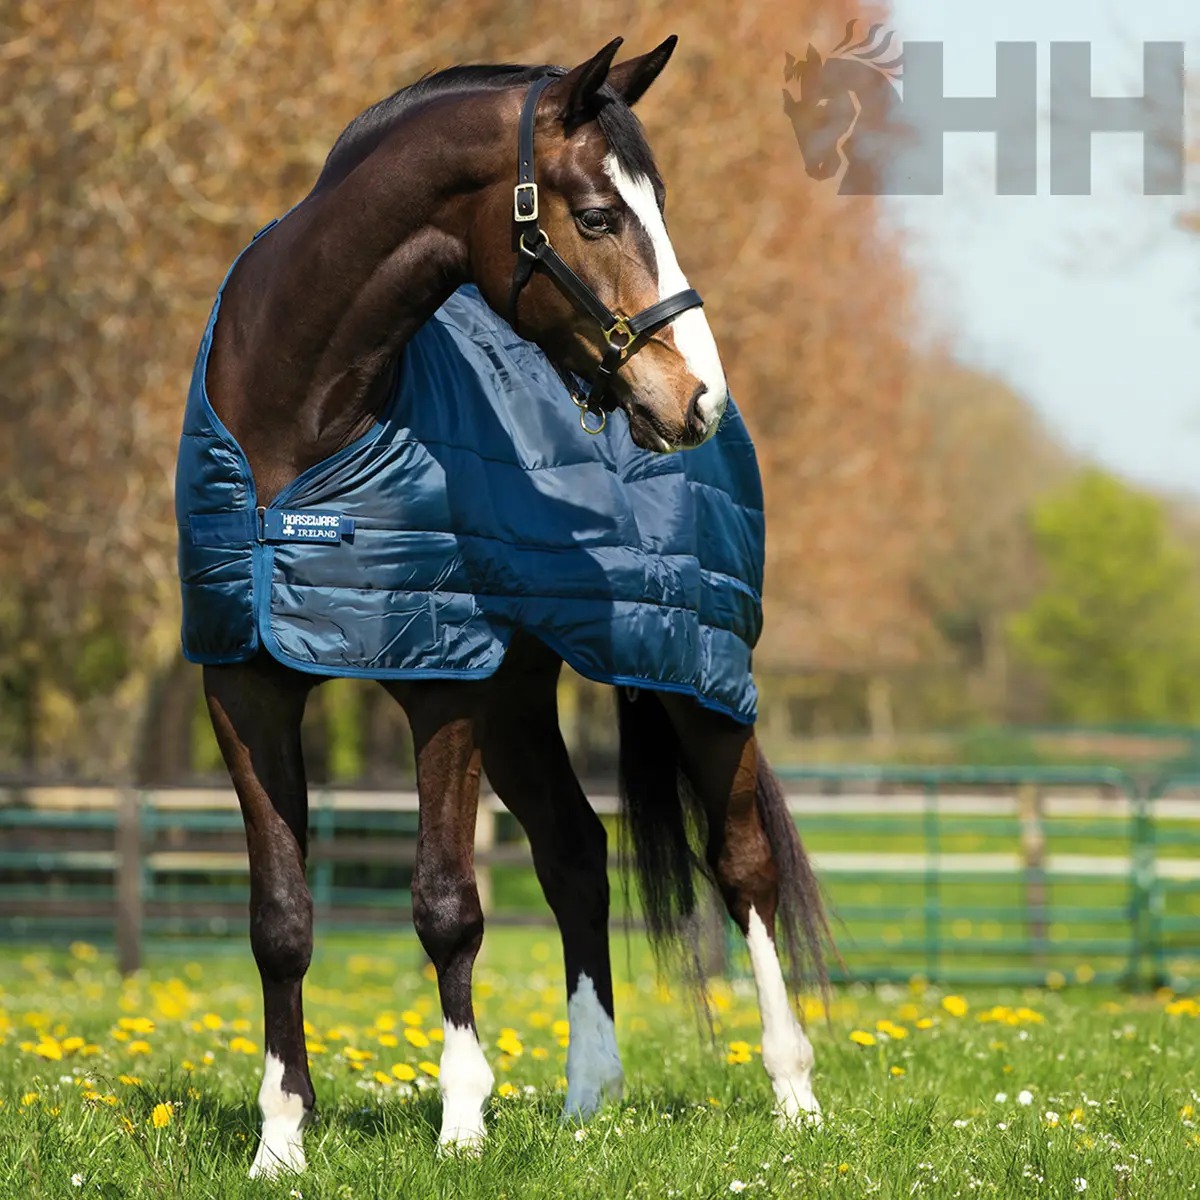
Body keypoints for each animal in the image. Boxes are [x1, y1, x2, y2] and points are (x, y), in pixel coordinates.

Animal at [187, 37, 830, 1178]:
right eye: (599, 216)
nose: (696, 398)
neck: (299, 429)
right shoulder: (245, 682)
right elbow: (280, 917)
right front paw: (281, 1141)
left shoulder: (440, 681)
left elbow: (447, 904)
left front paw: (462, 1126)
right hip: (523, 701)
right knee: (575, 857)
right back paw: (588, 1098)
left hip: (696, 671)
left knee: (743, 864)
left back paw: (792, 1093)